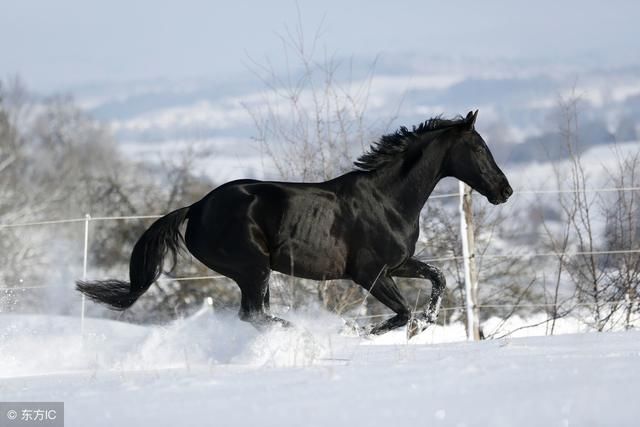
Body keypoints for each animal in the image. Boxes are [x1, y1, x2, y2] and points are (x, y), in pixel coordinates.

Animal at [77, 110, 512, 338]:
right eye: (478, 147)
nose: (505, 190)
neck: (386, 199)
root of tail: (197, 207)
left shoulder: (398, 264)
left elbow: (438, 278)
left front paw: (428, 320)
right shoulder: (369, 272)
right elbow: (403, 312)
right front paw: (358, 331)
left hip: (255, 273)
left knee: (254, 315)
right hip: (253, 268)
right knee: (254, 316)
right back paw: (297, 329)